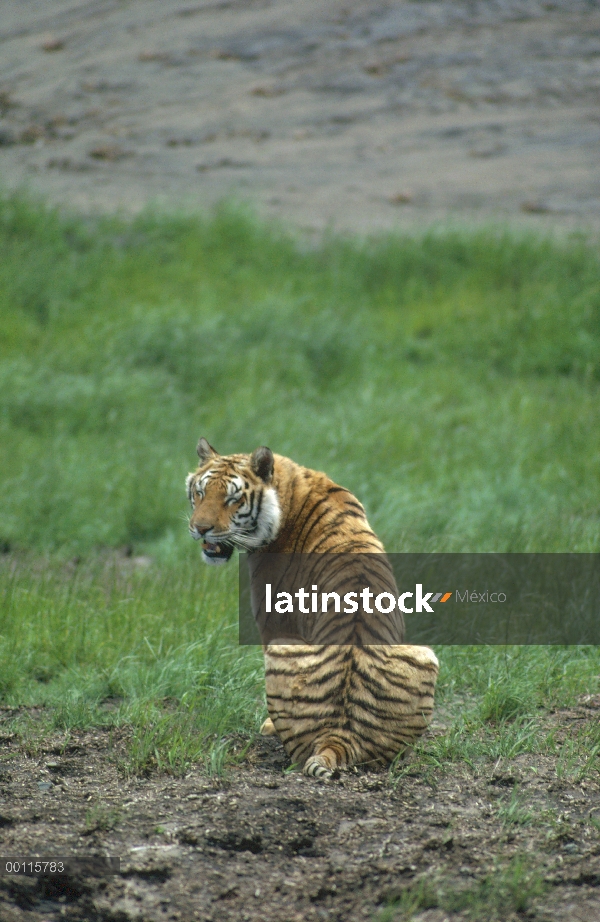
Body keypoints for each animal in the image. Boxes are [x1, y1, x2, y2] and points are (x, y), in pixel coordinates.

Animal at [185, 436, 438, 776]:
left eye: (232, 500)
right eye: (199, 493)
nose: (200, 528)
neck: (289, 488)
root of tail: (339, 737)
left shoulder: (273, 621)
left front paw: (267, 726)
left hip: (282, 647)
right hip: (425, 656)